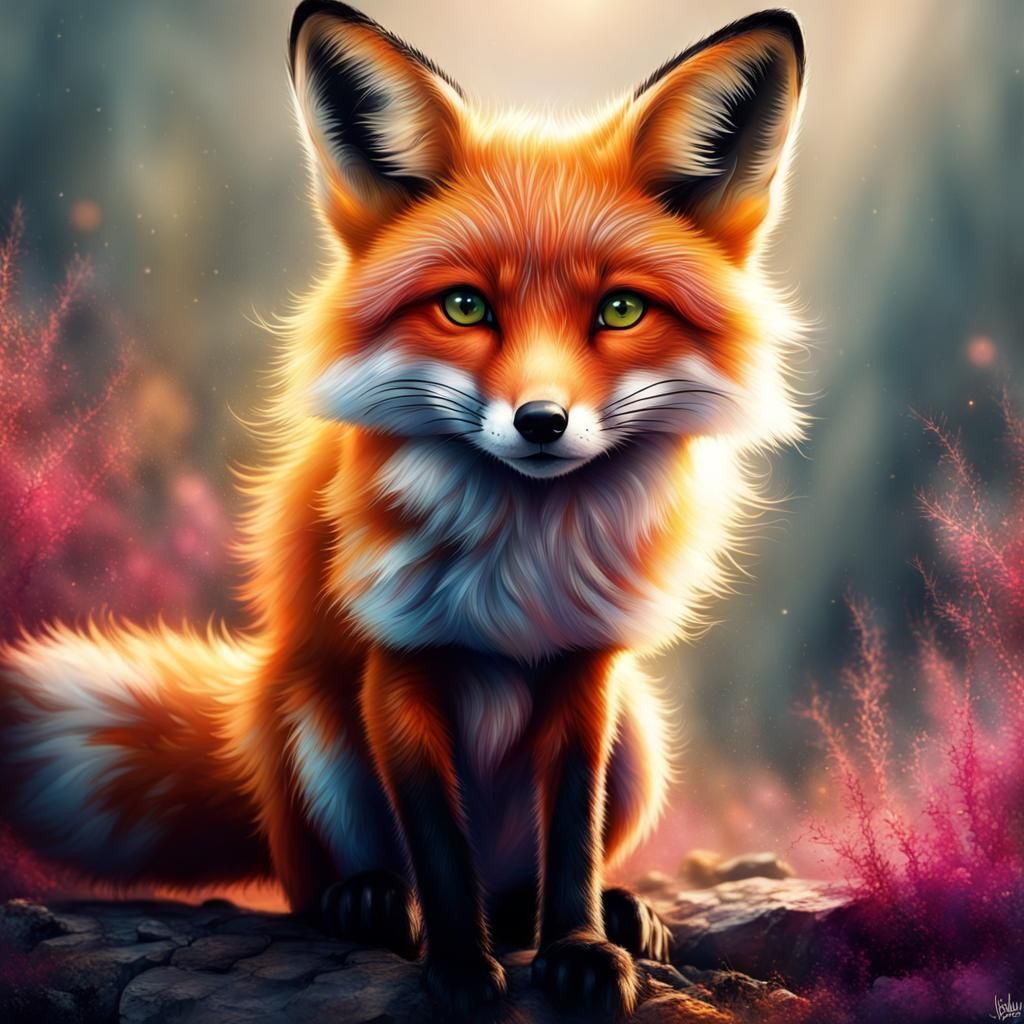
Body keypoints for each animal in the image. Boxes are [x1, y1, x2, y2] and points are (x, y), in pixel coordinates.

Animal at [0, 2, 807, 1018]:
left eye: (621, 311)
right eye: (464, 306)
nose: (541, 422)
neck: (519, 563)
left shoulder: (588, 673)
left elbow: (571, 843)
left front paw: (580, 948)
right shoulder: (399, 666)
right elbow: (438, 848)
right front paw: (459, 968)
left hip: (643, 734)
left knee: (526, 887)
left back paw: (612, 915)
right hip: (309, 726)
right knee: (327, 884)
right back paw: (373, 903)